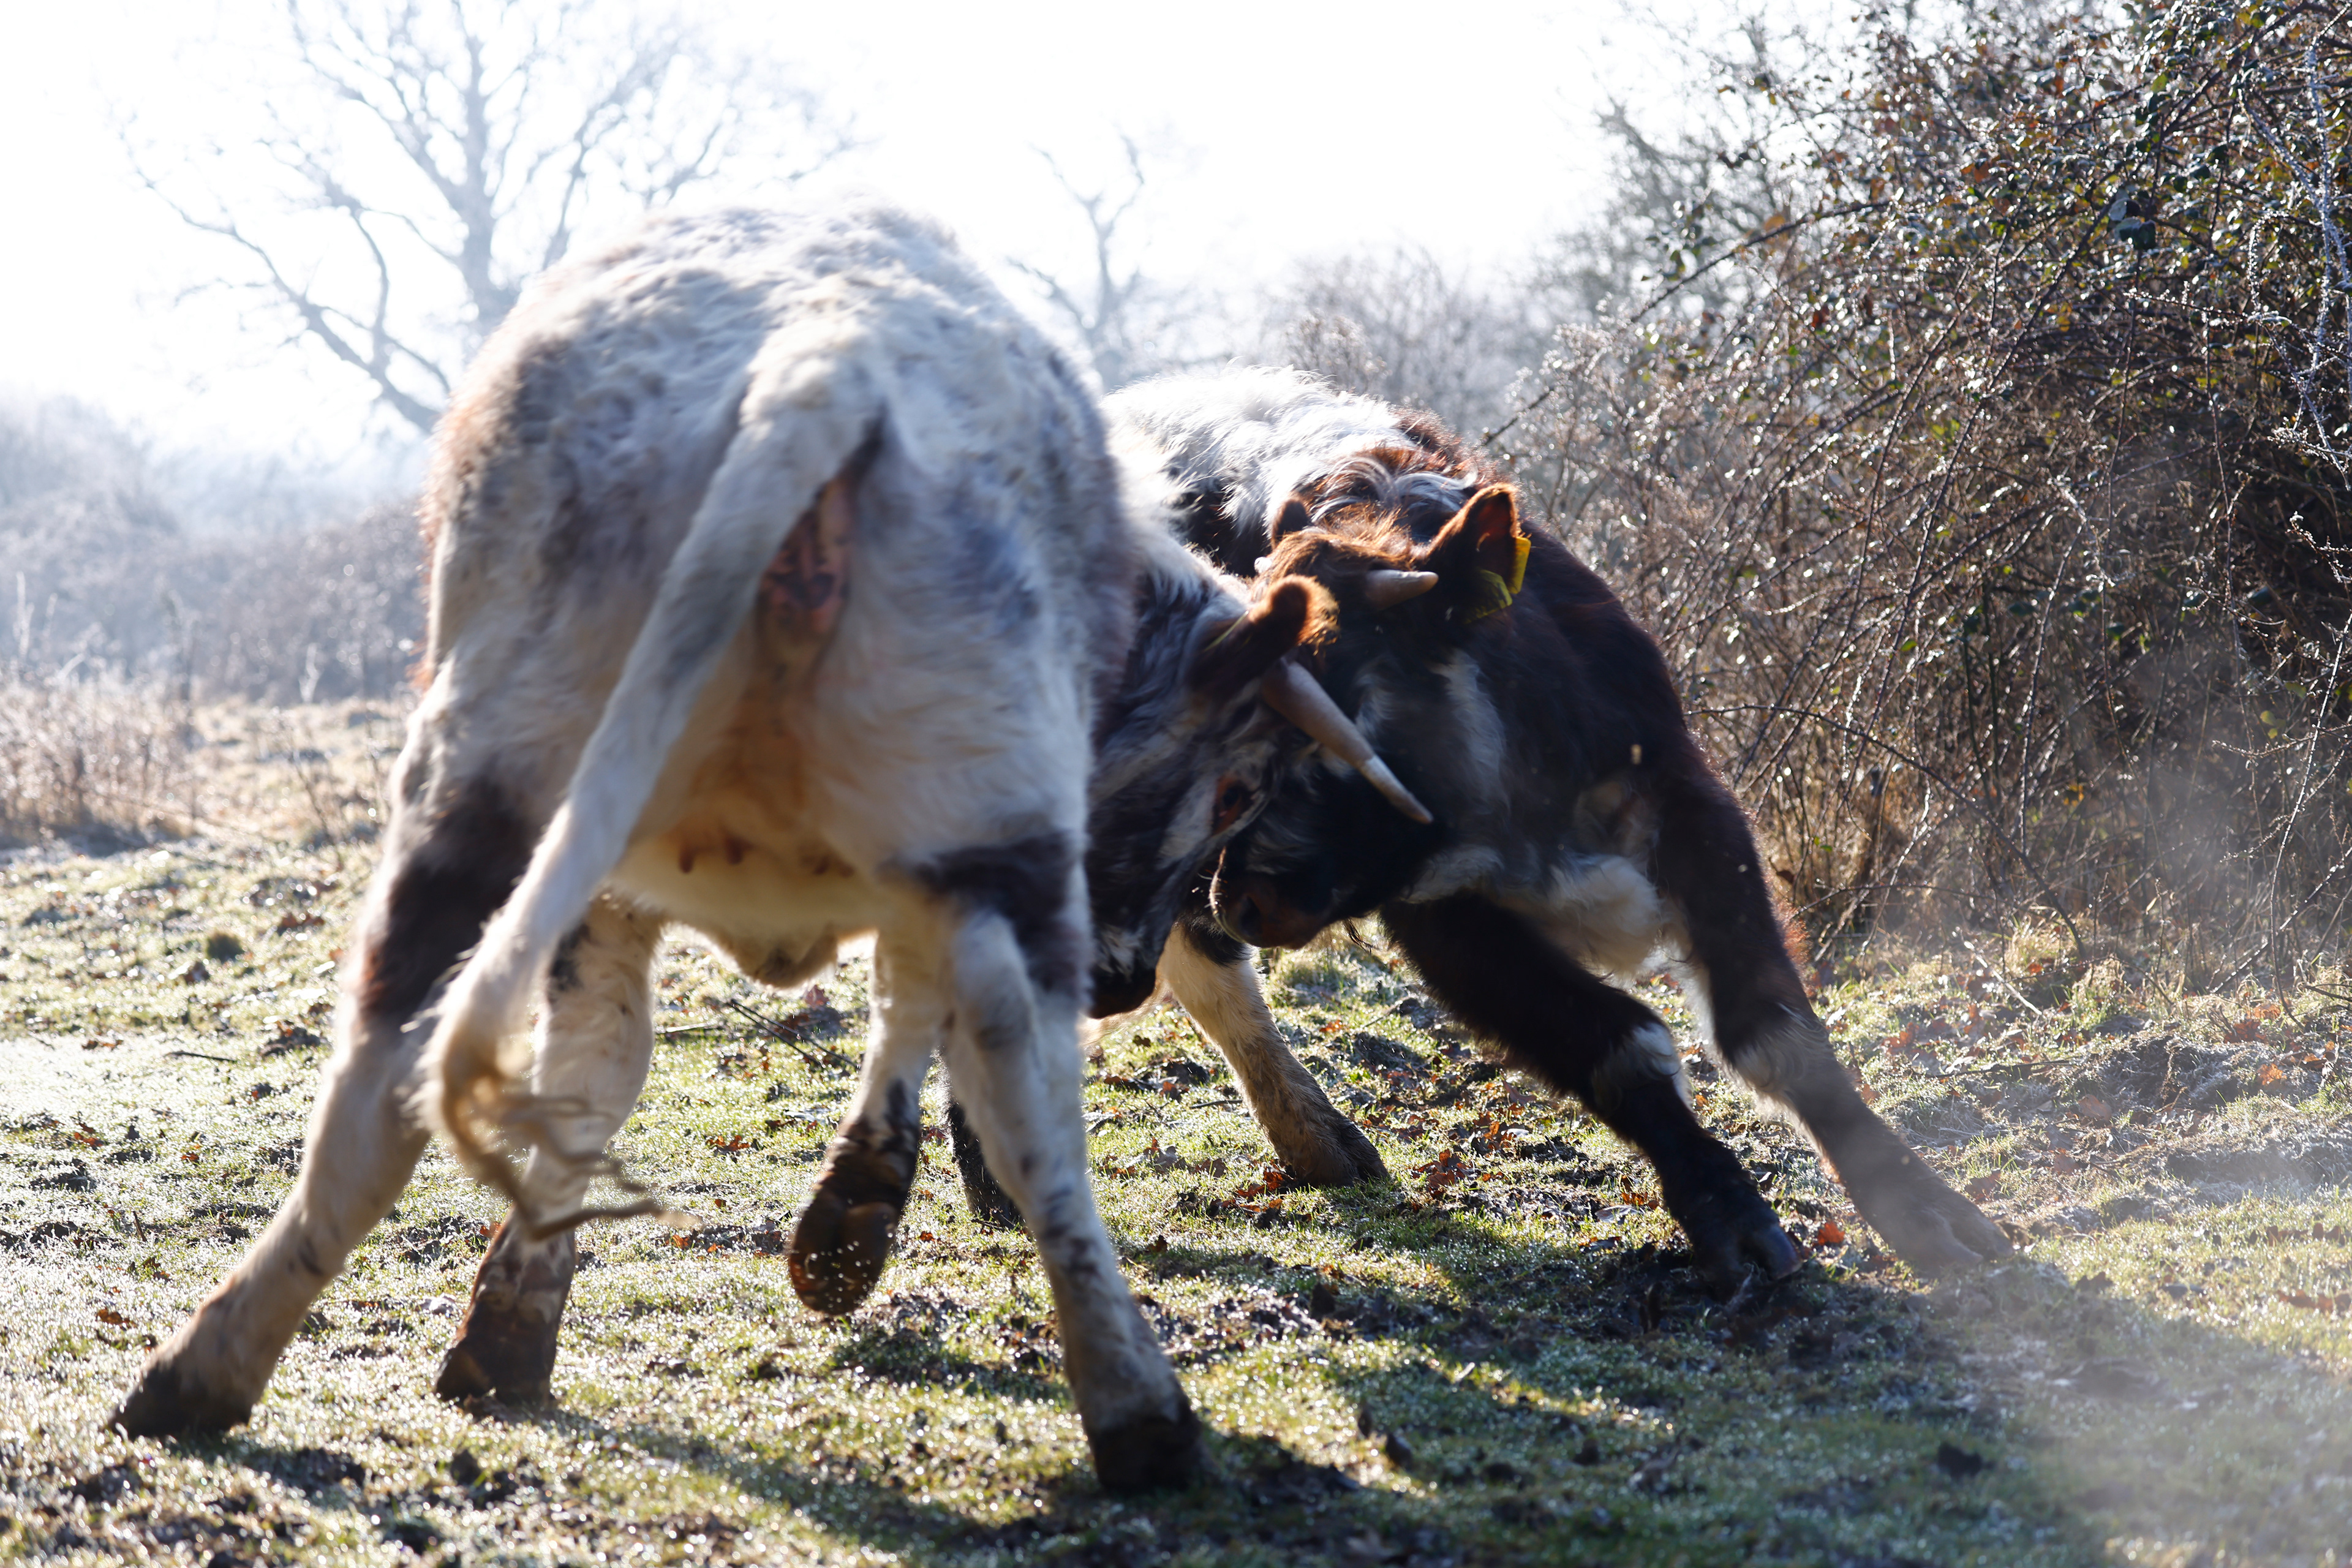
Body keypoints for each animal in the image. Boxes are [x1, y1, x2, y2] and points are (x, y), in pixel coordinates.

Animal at [107, 209, 1426, 1493]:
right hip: (988, 830)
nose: (1123, 981)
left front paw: (522, 1324)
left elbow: (602, 1071)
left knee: (381, 1076)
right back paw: (1141, 1411)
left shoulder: (636, 894)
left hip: (486, 785)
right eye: (1236, 785)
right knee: (1031, 1095)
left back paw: (208, 1371)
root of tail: (820, 358)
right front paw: (850, 1219)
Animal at [1063, 367, 2013, 1289]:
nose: (1242, 901)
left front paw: (1920, 1208)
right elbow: (1616, 1042)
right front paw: (1730, 1216)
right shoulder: (1443, 919)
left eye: (1343, 704)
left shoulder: (1695, 813)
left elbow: (1776, 1031)